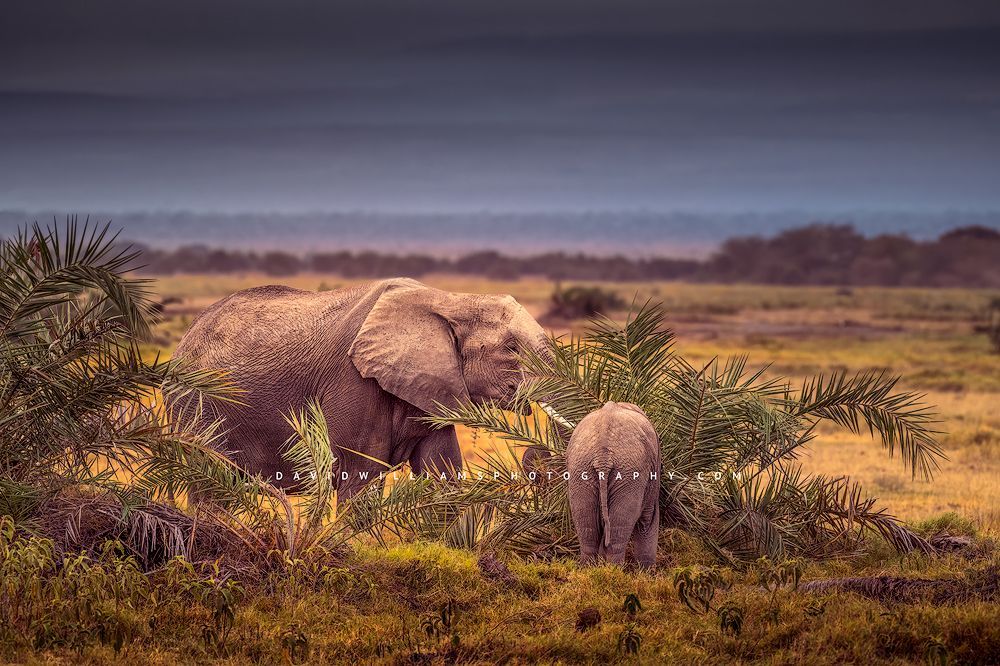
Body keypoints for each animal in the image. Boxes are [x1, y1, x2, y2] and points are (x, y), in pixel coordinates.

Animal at [170, 277, 549, 498]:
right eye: (512, 348)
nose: (533, 458)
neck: (451, 300)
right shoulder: (354, 382)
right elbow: (358, 478)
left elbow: (442, 474)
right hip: (197, 407)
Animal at [566, 402, 660, 568]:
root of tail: (603, 456)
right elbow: (648, 519)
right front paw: (647, 572)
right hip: (629, 471)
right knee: (618, 532)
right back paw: (614, 571)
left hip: (581, 468)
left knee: (587, 529)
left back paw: (590, 569)